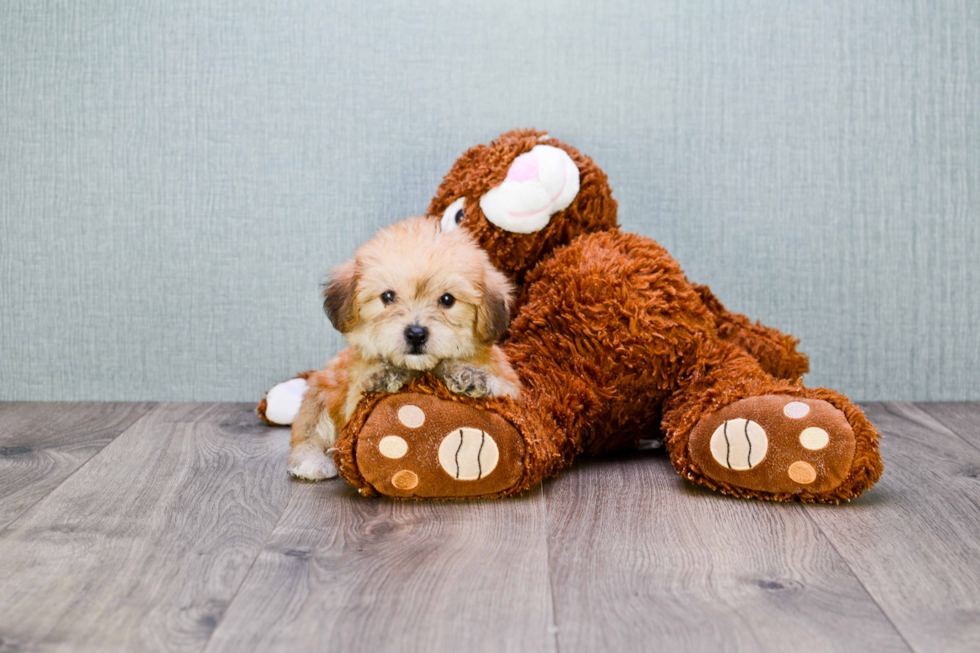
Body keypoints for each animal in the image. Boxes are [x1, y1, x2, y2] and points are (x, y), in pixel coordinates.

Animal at [288, 214, 524, 478]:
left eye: (447, 299)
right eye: (388, 296)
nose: (416, 334)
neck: (423, 368)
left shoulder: (515, 390)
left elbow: (504, 387)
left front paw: (472, 377)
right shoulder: (353, 400)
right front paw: (385, 375)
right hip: (322, 392)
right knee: (310, 431)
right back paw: (311, 461)